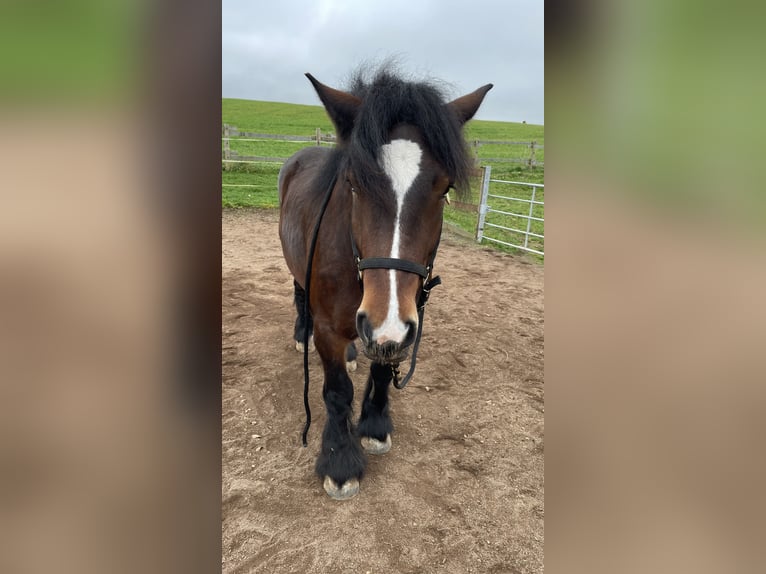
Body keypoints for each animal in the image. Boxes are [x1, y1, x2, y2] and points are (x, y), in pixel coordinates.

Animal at [280, 66, 496, 500]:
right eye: (353, 183)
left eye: (445, 188)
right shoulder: (333, 328)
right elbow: (336, 391)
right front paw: (339, 462)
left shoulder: (397, 327)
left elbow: (382, 369)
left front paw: (375, 427)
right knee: (299, 297)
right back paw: (299, 334)